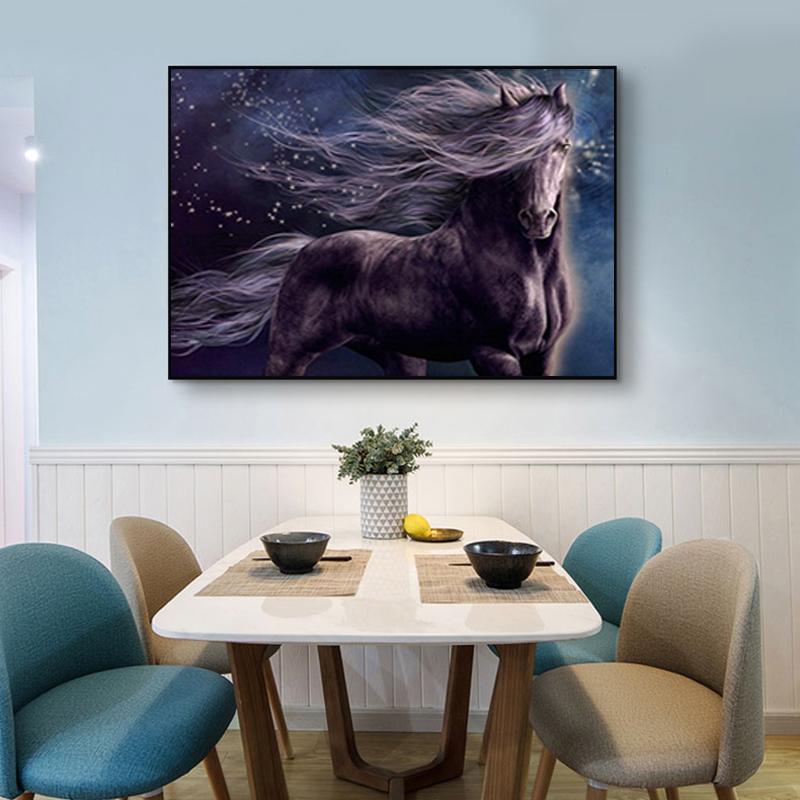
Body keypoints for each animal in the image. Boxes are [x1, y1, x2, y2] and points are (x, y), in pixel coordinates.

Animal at [171, 72, 575, 377]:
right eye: (512, 150)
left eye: (564, 146)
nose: (537, 218)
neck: (527, 270)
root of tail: (302, 251)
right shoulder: (493, 353)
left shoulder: (543, 356)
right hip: (289, 354)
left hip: (401, 356)